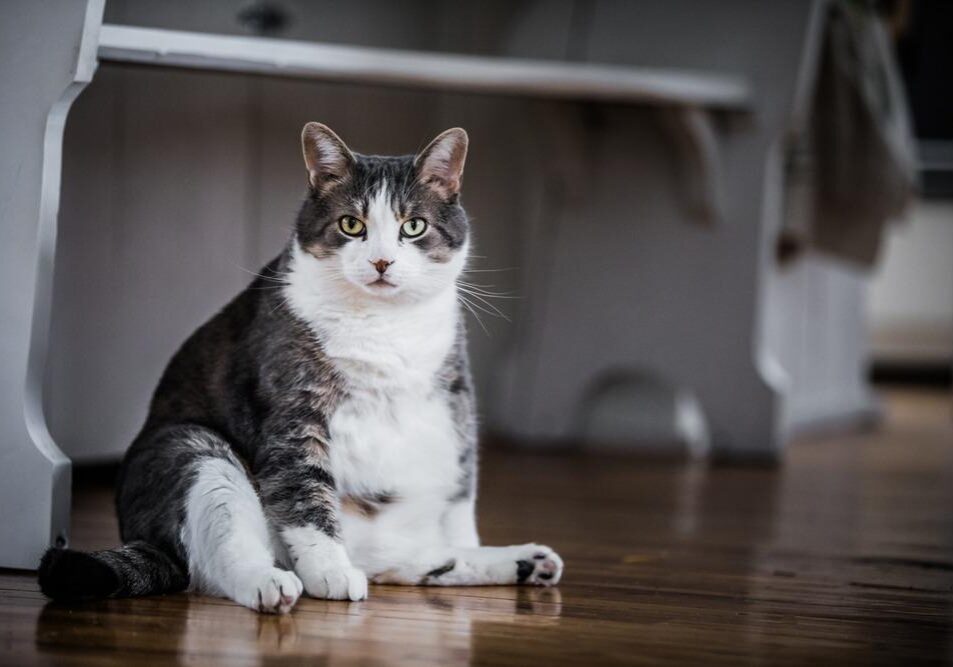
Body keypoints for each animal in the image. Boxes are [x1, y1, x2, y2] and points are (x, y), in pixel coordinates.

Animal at [37, 122, 560, 612]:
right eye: (351, 224)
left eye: (414, 226)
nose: (382, 262)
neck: (383, 325)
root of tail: (144, 537)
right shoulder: (293, 408)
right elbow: (304, 493)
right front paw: (330, 571)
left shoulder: (454, 398)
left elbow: (460, 494)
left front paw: (470, 544)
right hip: (191, 449)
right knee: (217, 561)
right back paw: (271, 583)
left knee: (407, 558)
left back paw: (525, 561)